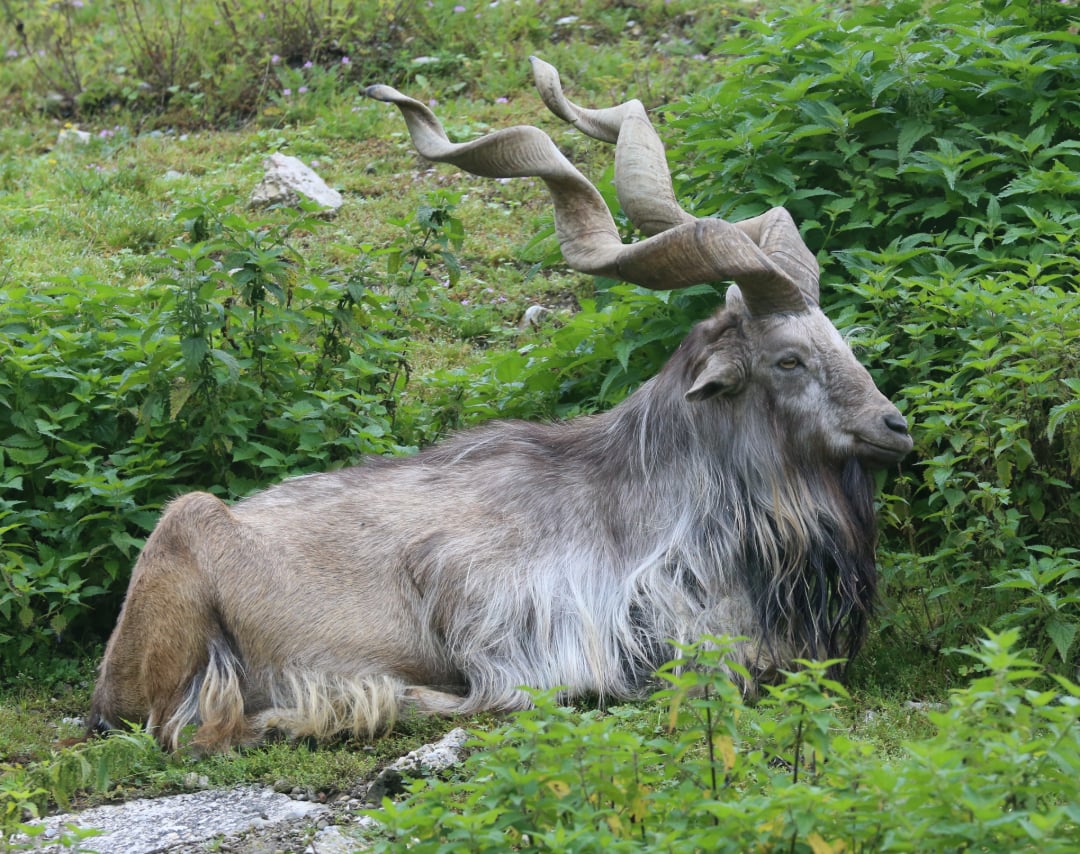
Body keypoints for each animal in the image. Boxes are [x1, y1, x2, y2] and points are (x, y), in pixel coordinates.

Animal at [87, 58, 912, 752]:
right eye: (788, 359)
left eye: (838, 340)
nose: (894, 426)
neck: (651, 498)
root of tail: (106, 680)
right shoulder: (495, 601)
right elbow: (520, 689)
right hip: (186, 539)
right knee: (188, 727)